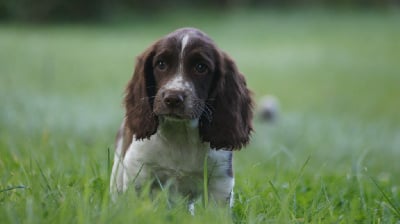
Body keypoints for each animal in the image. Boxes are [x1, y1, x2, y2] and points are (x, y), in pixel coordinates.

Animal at [109, 27, 253, 212]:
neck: (180, 135)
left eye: (201, 67)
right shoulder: (139, 171)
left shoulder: (220, 180)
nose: (172, 98)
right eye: (161, 64)